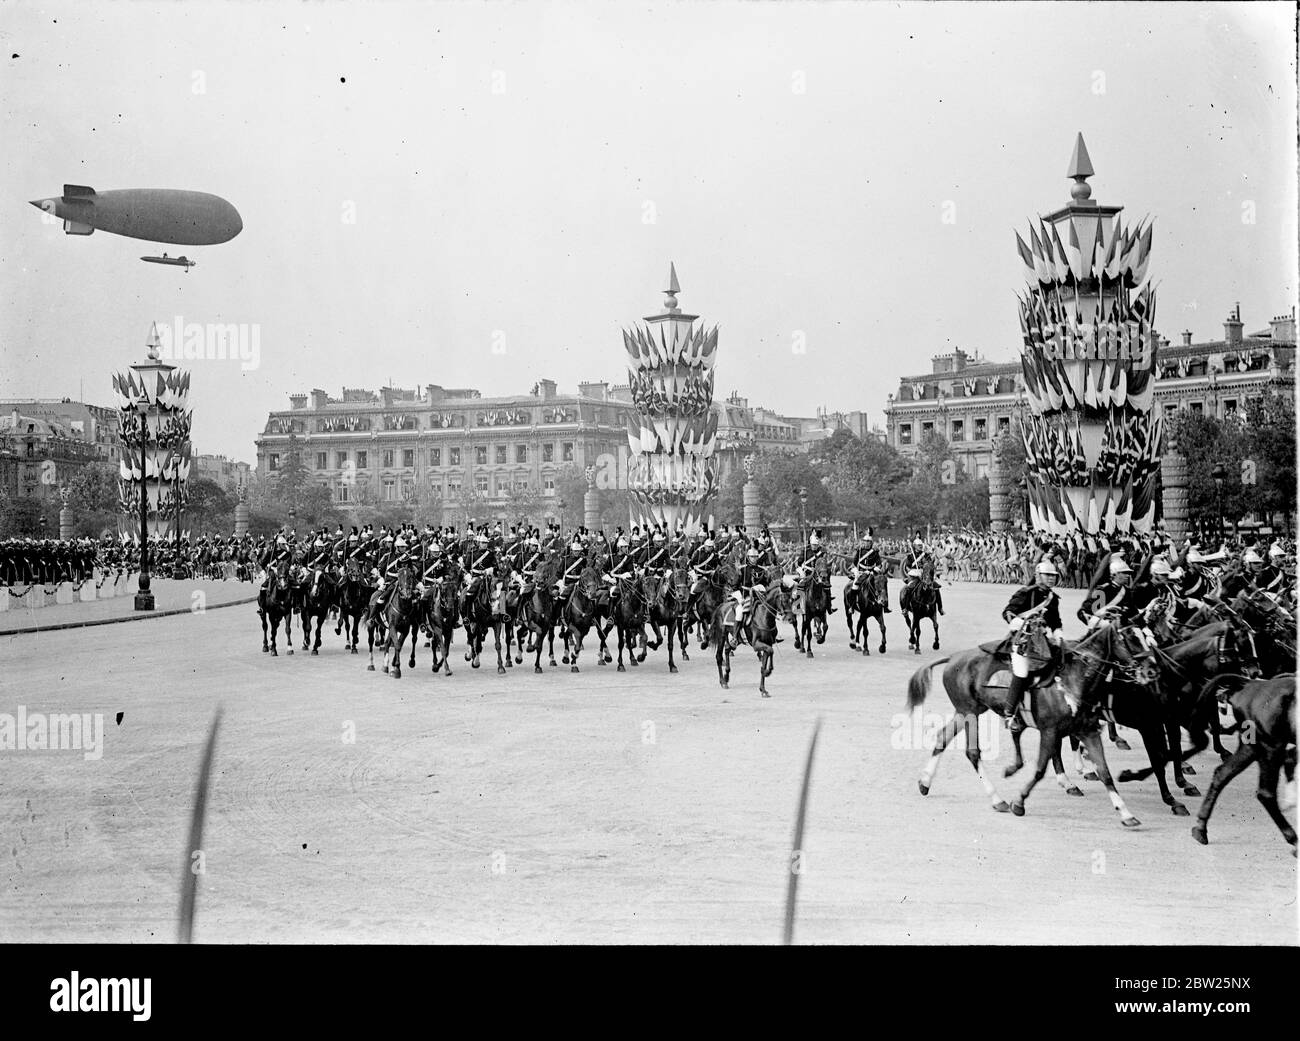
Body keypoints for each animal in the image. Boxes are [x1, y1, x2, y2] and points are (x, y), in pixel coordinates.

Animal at [909, 621, 1144, 826]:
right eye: (1130, 638)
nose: (1146, 670)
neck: (1073, 680)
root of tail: (954, 657)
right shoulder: (1049, 732)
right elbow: (1040, 770)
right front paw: (1019, 802)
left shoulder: (1088, 732)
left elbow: (1105, 773)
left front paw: (1126, 813)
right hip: (969, 714)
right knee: (973, 753)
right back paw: (997, 799)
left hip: (967, 711)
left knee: (942, 738)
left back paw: (925, 782)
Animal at [1190, 675, 1294, 852]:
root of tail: (1251, 684)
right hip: (1270, 747)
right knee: (1266, 794)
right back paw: (1292, 838)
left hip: (1250, 747)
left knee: (1221, 774)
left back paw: (1201, 828)